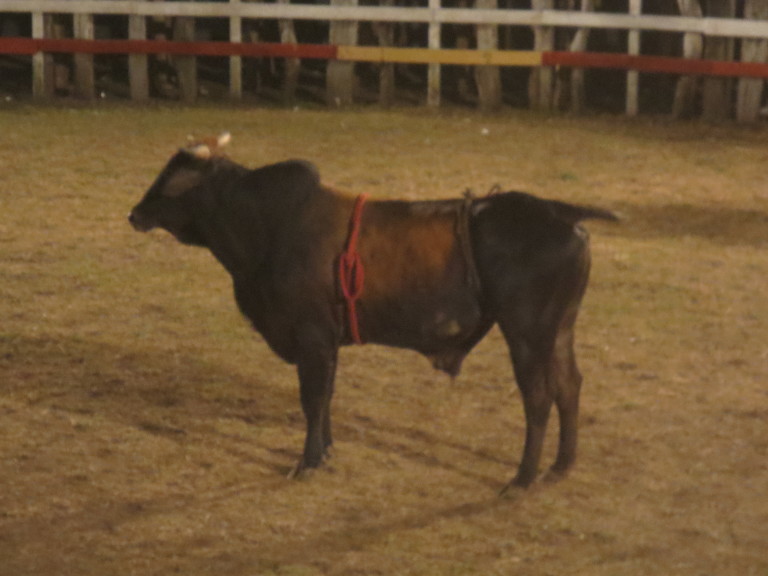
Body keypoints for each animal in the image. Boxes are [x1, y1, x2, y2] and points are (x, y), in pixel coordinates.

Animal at [128, 133, 616, 492]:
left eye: (170, 180)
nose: (135, 213)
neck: (268, 223)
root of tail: (559, 212)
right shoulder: (327, 341)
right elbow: (325, 396)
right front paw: (325, 452)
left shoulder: (311, 335)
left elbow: (312, 398)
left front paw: (307, 461)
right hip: (559, 329)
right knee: (569, 385)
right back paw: (560, 467)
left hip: (527, 332)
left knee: (539, 396)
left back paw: (522, 479)